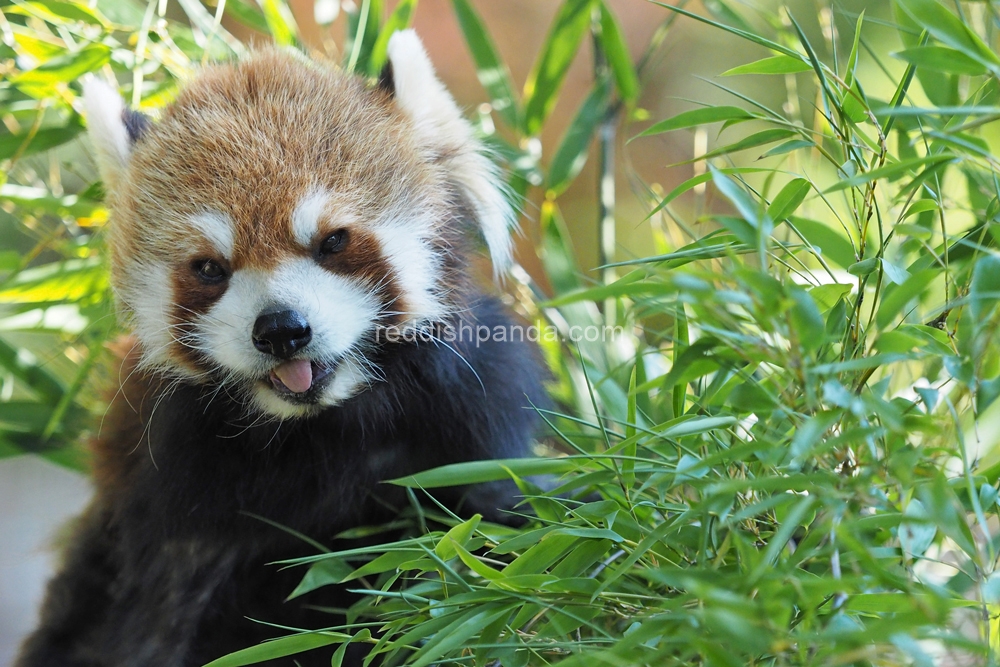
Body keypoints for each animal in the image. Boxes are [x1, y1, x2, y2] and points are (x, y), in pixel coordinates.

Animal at [17, 30, 548, 667]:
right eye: (210, 268)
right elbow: (150, 628)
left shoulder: (471, 423)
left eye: (334, 241)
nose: (281, 330)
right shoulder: (173, 494)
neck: (319, 427)